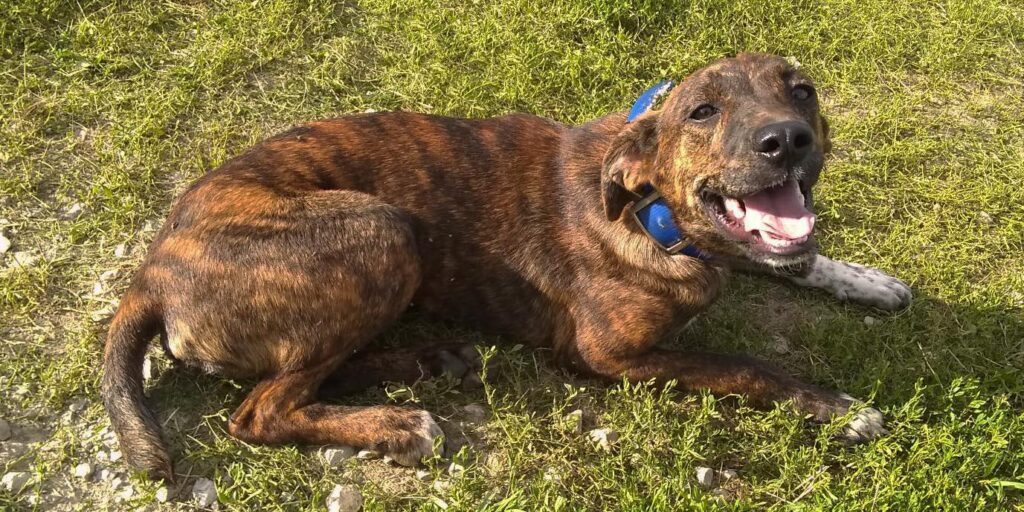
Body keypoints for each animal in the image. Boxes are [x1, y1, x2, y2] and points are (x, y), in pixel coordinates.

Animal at [99, 52, 909, 479]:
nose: (788, 139)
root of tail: (154, 269)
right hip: (382, 230)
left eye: (801, 88)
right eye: (702, 112)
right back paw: (397, 423)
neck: (651, 213)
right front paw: (837, 407)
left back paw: (426, 359)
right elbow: (745, 364)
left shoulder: (744, 246)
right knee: (263, 409)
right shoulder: (610, 354)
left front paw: (865, 278)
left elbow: (796, 258)